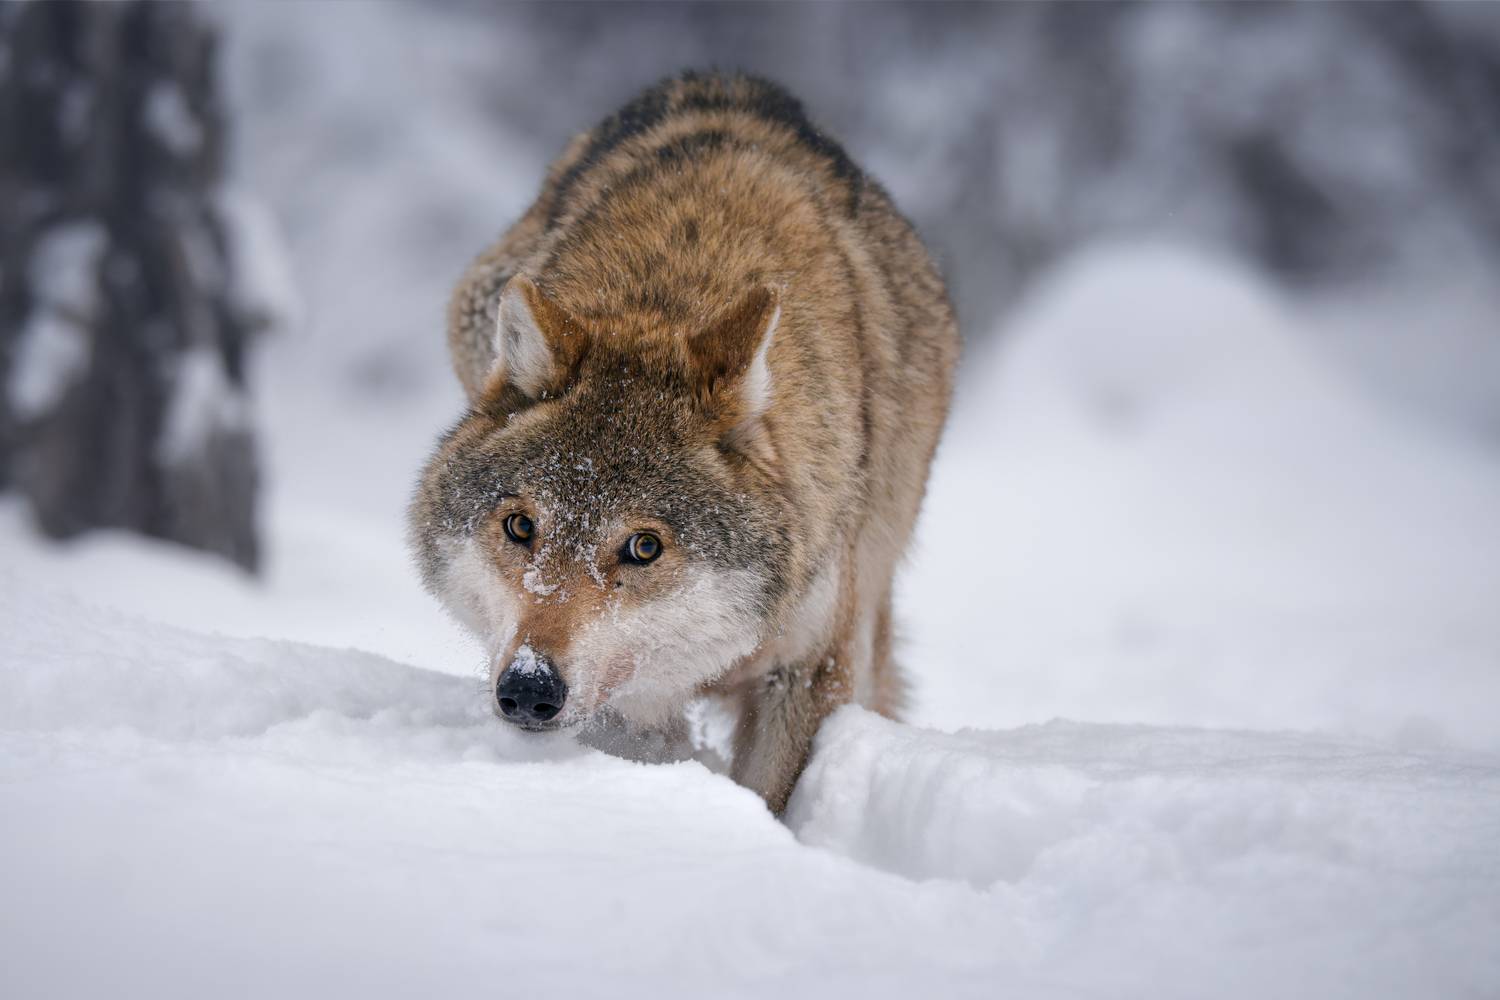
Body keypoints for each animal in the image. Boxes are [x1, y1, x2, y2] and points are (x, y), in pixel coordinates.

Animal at [410, 71, 958, 813]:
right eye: (521, 527)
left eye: (645, 547)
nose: (528, 687)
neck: (674, 288)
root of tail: (726, 77)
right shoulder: (633, 703)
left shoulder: (809, 671)